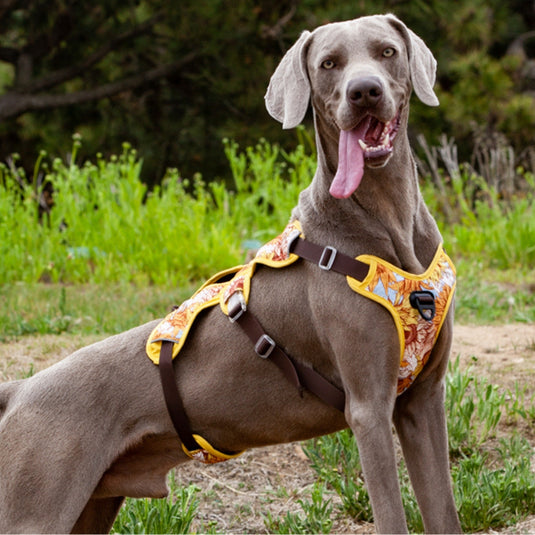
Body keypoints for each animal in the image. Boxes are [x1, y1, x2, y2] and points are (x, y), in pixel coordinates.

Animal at [0, 14, 460, 532]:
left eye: (387, 52)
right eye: (329, 64)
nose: (364, 91)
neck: (388, 222)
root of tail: (18, 390)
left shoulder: (424, 401)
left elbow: (444, 510)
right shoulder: (369, 408)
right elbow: (392, 513)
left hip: (94, 503)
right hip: (37, 505)